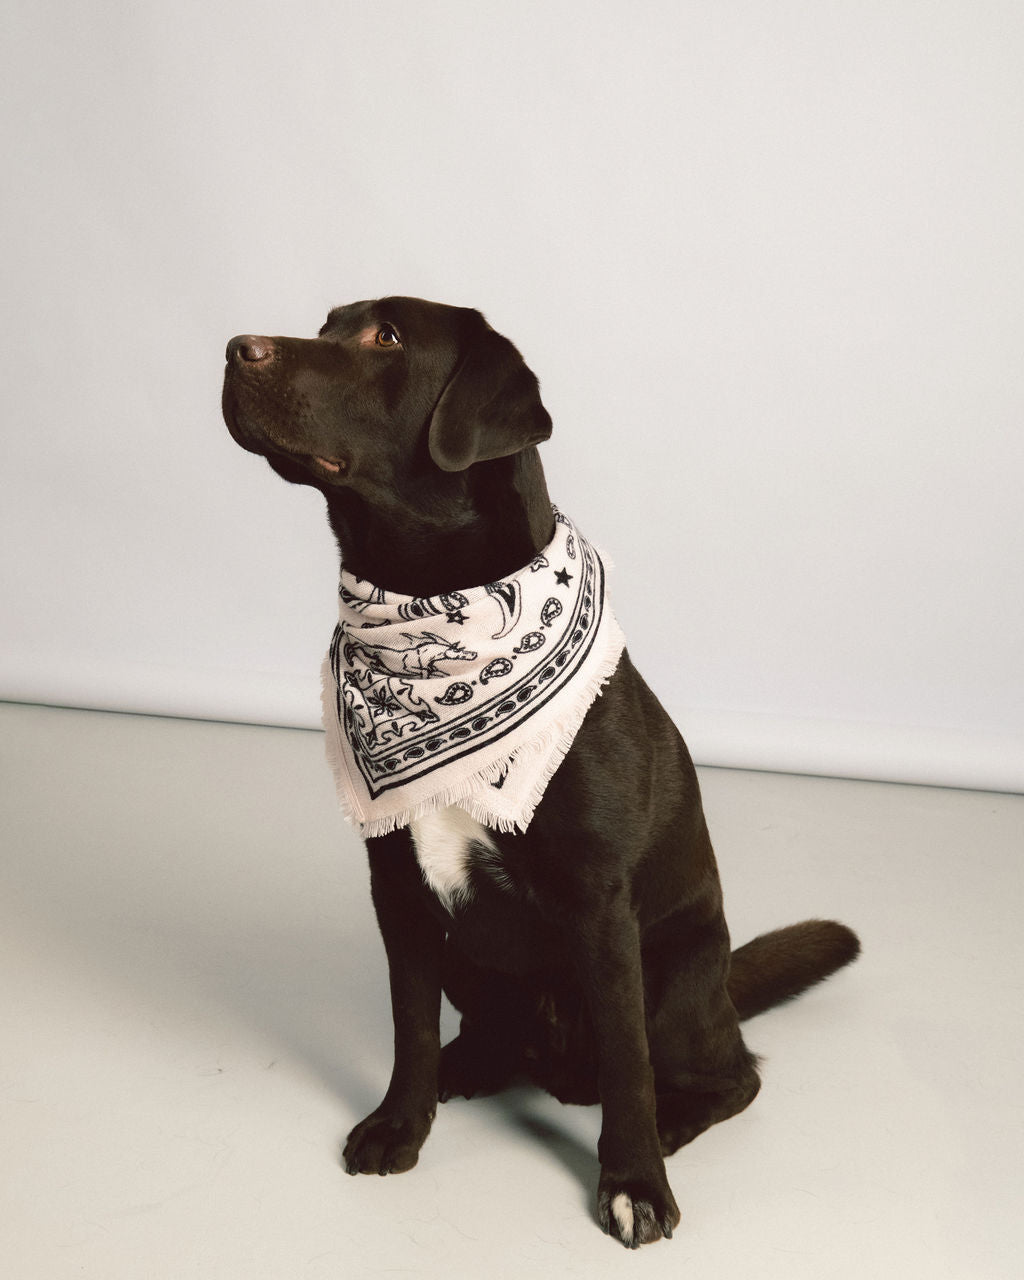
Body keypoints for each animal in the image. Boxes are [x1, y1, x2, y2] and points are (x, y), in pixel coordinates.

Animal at [222, 296, 859, 1248]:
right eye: (328, 323)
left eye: (387, 338)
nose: (235, 348)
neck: (424, 607)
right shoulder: (398, 889)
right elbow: (409, 1026)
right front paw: (401, 1123)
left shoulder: (600, 903)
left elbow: (629, 1067)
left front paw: (636, 1183)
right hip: (471, 955)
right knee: (491, 1035)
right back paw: (470, 1067)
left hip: (675, 977)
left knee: (729, 1074)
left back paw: (674, 1121)